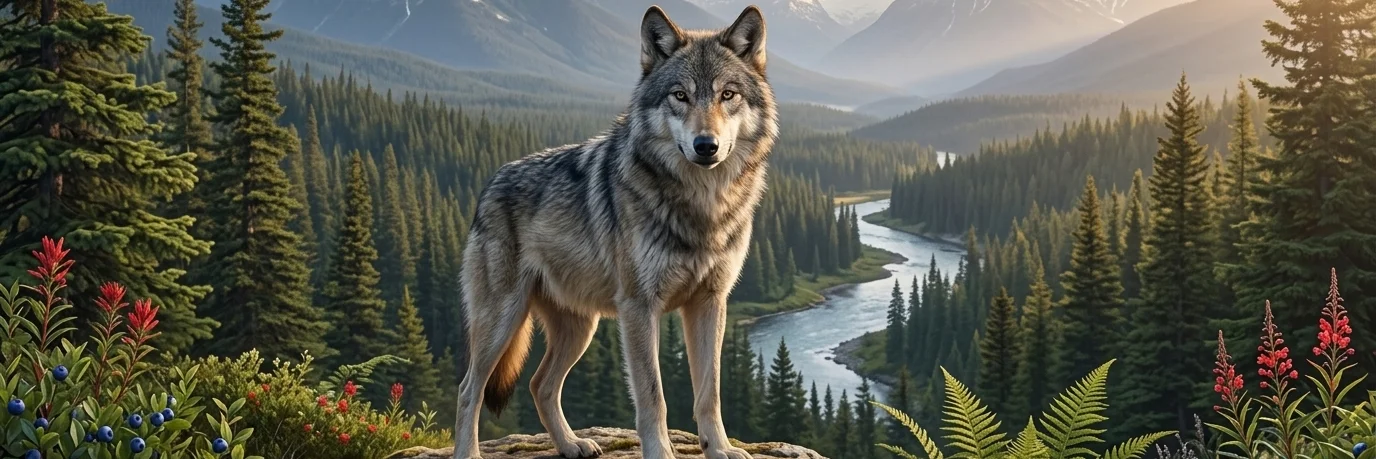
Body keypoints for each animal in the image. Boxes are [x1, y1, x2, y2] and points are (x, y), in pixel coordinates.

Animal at [451, 5, 777, 459]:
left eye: (727, 95)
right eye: (680, 96)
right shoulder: (639, 307)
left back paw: (572, 444)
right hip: (503, 320)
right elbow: (653, 396)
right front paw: (661, 452)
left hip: (579, 329)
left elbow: (709, 392)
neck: (702, 204)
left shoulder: (710, 303)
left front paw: (720, 449)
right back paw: (472, 450)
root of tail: (490, 184)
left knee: (540, 384)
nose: (705, 145)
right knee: (469, 388)